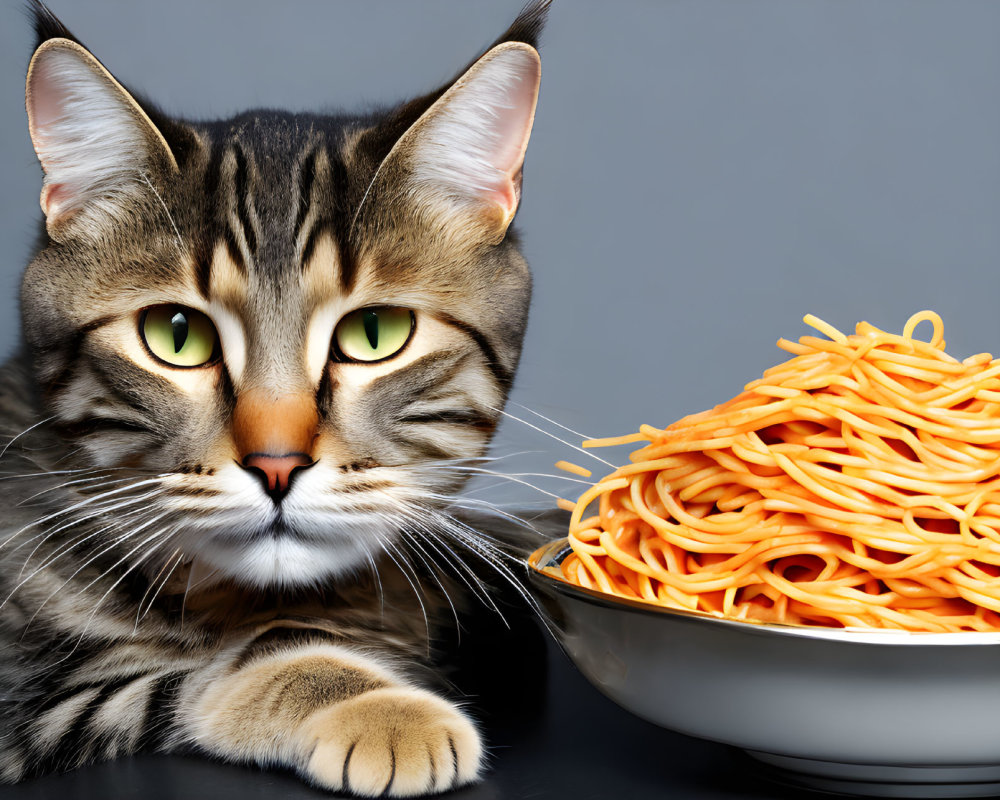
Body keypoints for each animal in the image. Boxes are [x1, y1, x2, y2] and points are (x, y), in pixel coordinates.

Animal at [0, 0, 548, 792]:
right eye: (175, 335)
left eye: (377, 333)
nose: (277, 464)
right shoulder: (33, 700)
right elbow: (229, 660)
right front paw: (377, 706)